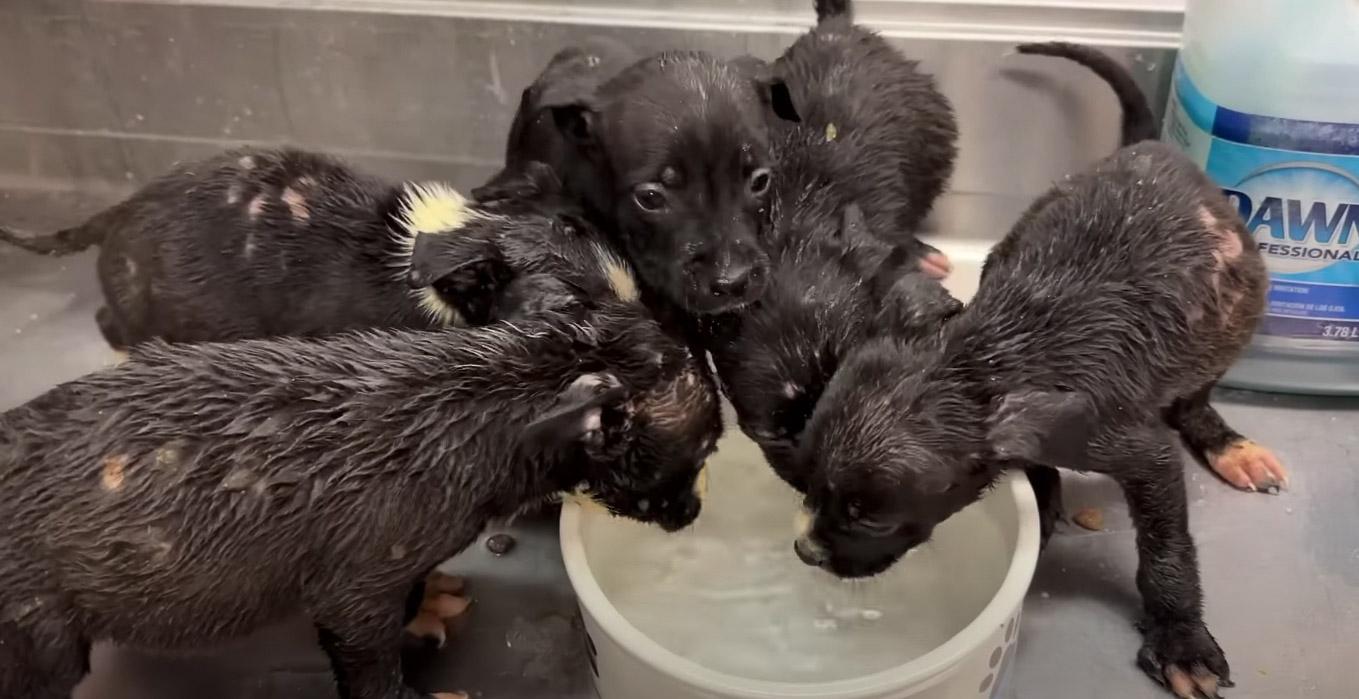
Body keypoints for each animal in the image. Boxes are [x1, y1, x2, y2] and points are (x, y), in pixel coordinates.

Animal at [0, 301, 722, 696]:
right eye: (705, 445)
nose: (693, 515)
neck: (482, 403)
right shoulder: (354, 592)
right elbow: (371, 668)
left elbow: (411, 592)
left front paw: (426, 602)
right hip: (37, 636)